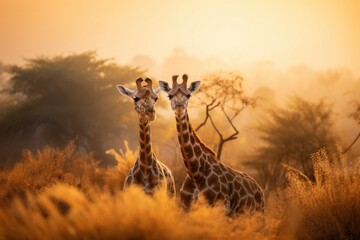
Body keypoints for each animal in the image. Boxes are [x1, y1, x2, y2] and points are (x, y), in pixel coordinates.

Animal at [159, 74, 266, 214]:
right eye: (170, 95)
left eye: (188, 95)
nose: (179, 107)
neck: (195, 173)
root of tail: (260, 190)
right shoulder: (186, 208)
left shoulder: (221, 207)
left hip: (257, 213)